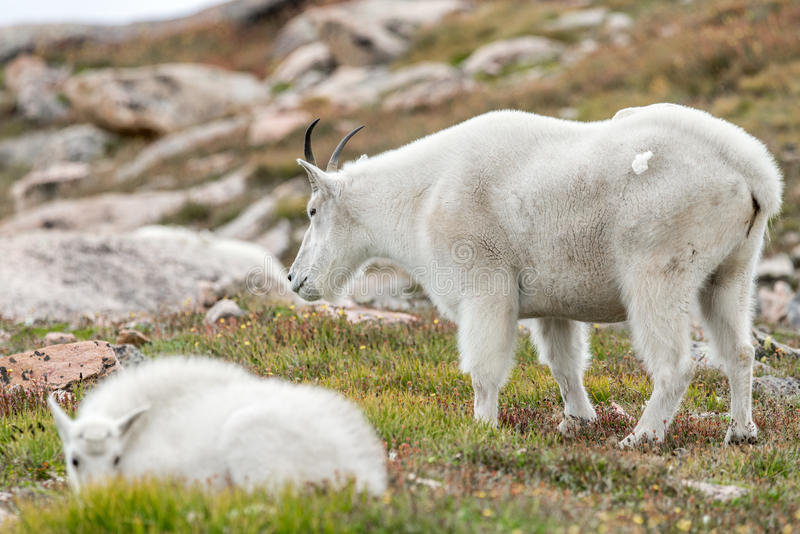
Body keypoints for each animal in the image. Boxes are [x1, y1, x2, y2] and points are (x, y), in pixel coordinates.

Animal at [288, 103, 780, 448]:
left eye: (312, 211)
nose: (295, 280)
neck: (421, 197)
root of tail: (753, 174)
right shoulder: (553, 303)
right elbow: (564, 363)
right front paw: (577, 421)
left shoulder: (485, 286)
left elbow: (484, 368)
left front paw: (482, 427)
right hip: (733, 269)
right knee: (739, 349)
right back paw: (741, 432)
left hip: (658, 269)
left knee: (675, 364)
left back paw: (641, 436)